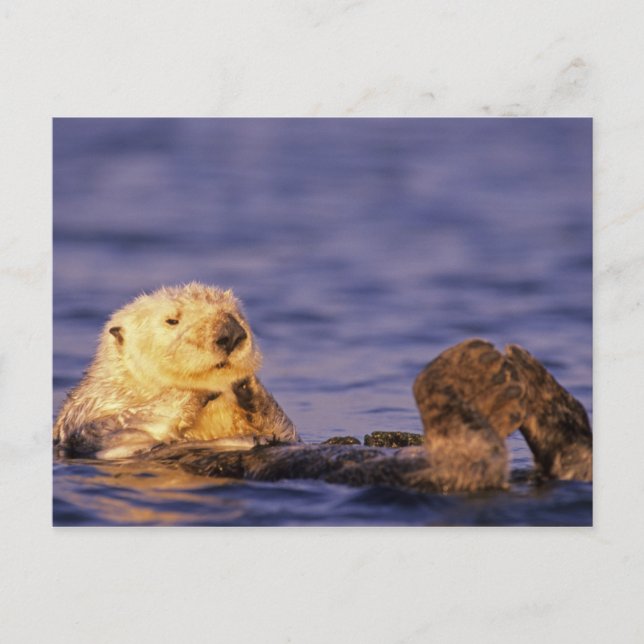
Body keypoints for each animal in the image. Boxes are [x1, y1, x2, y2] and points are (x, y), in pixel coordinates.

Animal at [54, 284, 592, 491]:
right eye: (172, 320)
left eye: (237, 313)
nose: (230, 333)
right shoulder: (92, 421)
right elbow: (126, 428)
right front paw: (205, 386)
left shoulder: (284, 432)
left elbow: (281, 430)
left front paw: (248, 387)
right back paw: (484, 376)